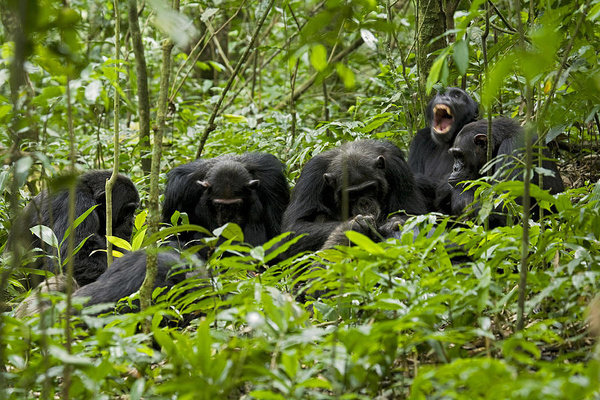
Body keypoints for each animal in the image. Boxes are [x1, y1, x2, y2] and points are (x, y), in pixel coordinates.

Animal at [161, 152, 290, 250]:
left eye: (236, 205)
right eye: (218, 205)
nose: (228, 218)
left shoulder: (273, 181)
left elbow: (277, 230)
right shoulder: (179, 189)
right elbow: (172, 237)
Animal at [282, 140, 426, 253]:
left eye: (370, 188)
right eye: (351, 194)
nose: (364, 203)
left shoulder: (398, 167)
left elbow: (413, 213)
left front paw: (394, 223)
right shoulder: (311, 175)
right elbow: (294, 229)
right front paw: (354, 225)